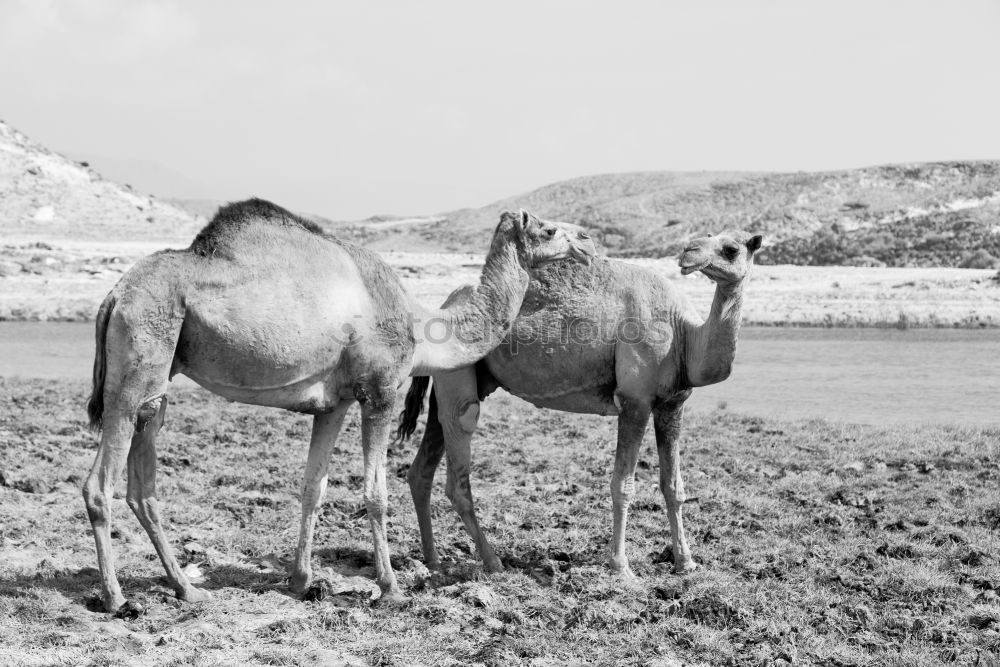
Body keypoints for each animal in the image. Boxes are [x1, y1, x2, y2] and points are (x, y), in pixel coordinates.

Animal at [84, 196, 592, 612]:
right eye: (548, 229)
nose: (587, 240)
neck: (421, 324)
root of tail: (114, 296)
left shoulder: (335, 404)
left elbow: (315, 486)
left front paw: (302, 580)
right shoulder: (380, 392)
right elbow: (375, 494)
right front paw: (391, 588)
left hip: (158, 379)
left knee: (143, 484)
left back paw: (187, 589)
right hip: (137, 362)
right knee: (99, 484)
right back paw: (117, 598)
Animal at [394, 227, 760, 576]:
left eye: (732, 248)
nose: (688, 252)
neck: (683, 334)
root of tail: (442, 308)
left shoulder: (672, 405)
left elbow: (673, 486)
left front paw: (686, 563)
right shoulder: (635, 400)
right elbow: (623, 485)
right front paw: (621, 567)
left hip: (454, 380)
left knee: (421, 469)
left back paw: (433, 560)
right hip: (460, 381)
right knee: (459, 461)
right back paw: (493, 561)